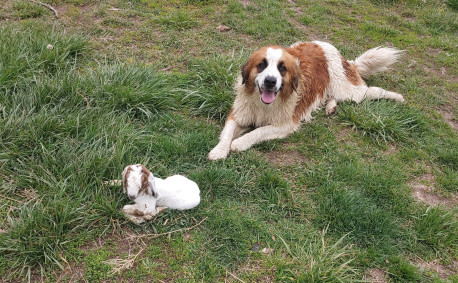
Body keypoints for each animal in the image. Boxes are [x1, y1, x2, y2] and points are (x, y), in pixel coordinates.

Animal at [208, 40, 404, 161]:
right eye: (261, 65)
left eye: (282, 68)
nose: (270, 81)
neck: (264, 104)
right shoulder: (239, 113)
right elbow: (227, 132)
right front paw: (219, 150)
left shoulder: (286, 124)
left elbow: (258, 131)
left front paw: (239, 143)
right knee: (332, 96)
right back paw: (331, 107)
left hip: (349, 91)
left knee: (372, 91)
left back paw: (398, 97)